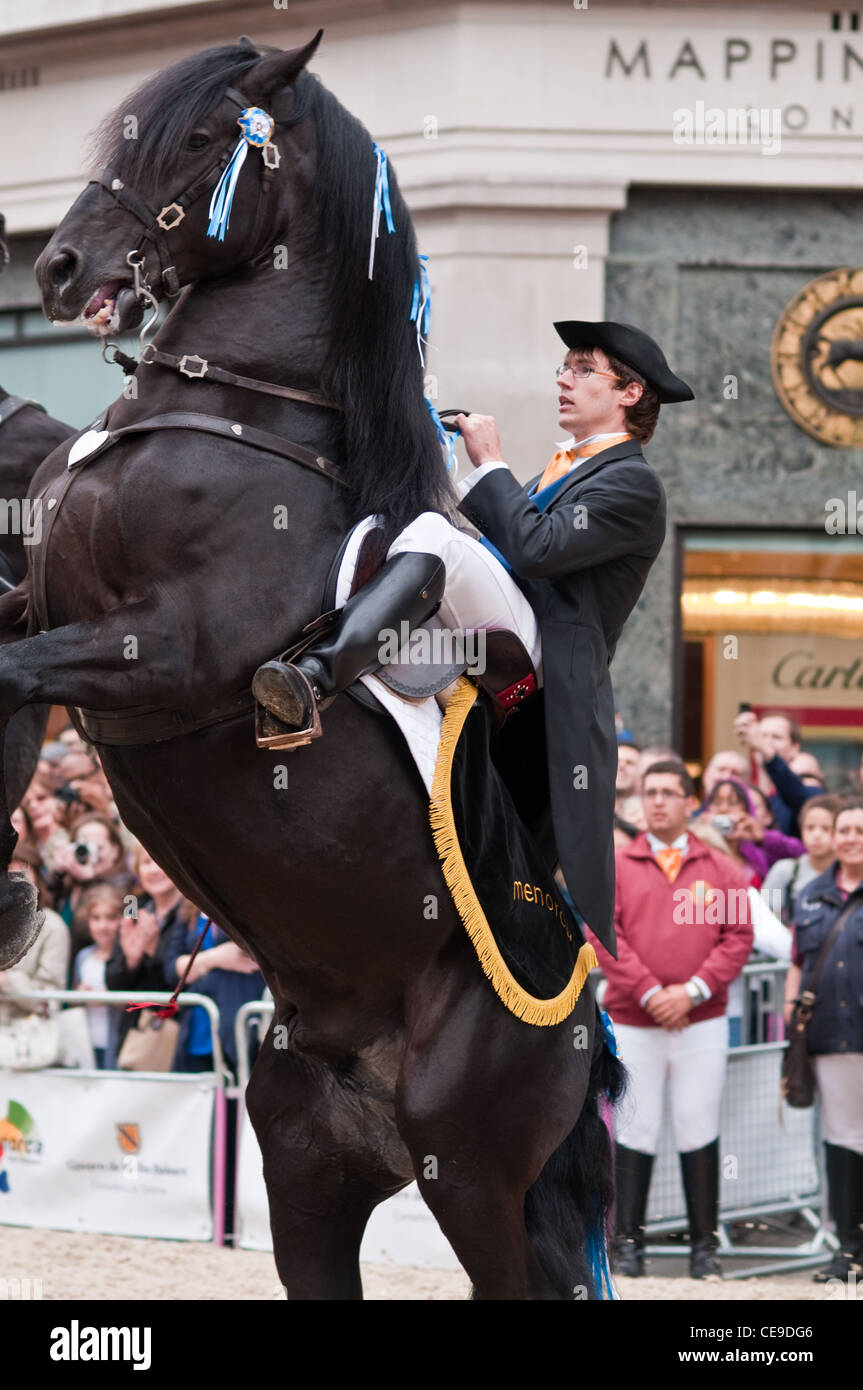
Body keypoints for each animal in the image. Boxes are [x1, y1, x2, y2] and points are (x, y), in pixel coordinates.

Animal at [1, 35, 619, 1301]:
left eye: (198, 139)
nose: (59, 265)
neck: (238, 419)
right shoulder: (45, 606)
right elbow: (2, 672)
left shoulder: (162, 652)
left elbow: (8, 674)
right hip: (305, 1170)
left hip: (466, 1168)